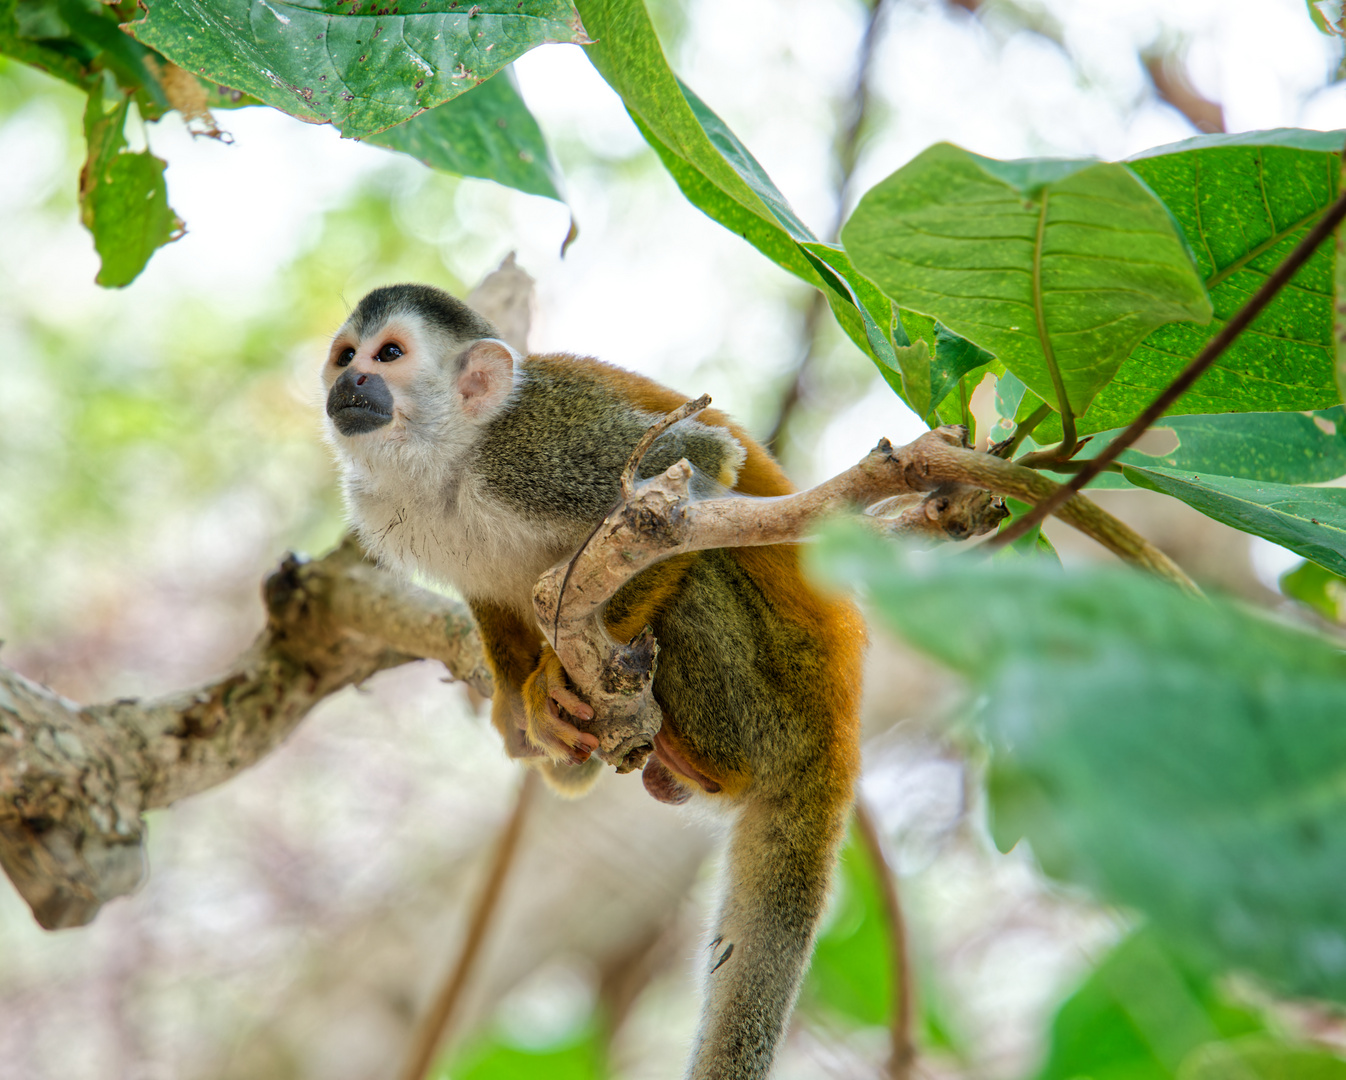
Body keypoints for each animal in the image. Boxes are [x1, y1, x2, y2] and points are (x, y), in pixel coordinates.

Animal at [323, 281, 861, 1071]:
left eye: (388, 354)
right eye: (344, 355)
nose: (350, 382)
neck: (451, 459)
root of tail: (836, 730)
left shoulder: (539, 452)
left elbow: (696, 478)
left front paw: (557, 679)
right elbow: (490, 596)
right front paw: (522, 709)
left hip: (775, 710)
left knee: (700, 566)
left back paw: (698, 756)